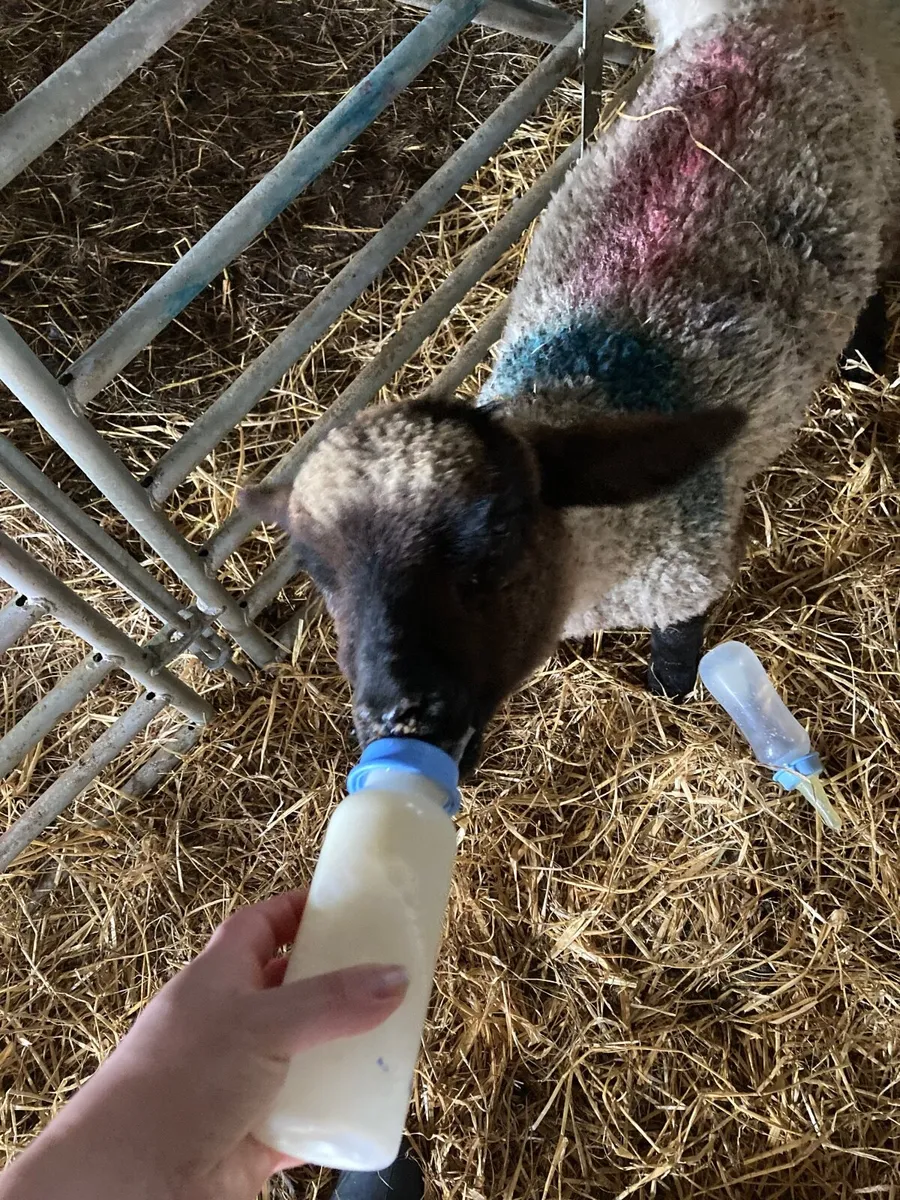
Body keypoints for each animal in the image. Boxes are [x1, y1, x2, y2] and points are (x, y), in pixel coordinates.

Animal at [242, 0, 899, 772]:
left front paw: (670, 692)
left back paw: (863, 358)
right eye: (320, 574)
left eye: (497, 538)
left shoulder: (687, 573)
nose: (402, 718)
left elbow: (678, 651)